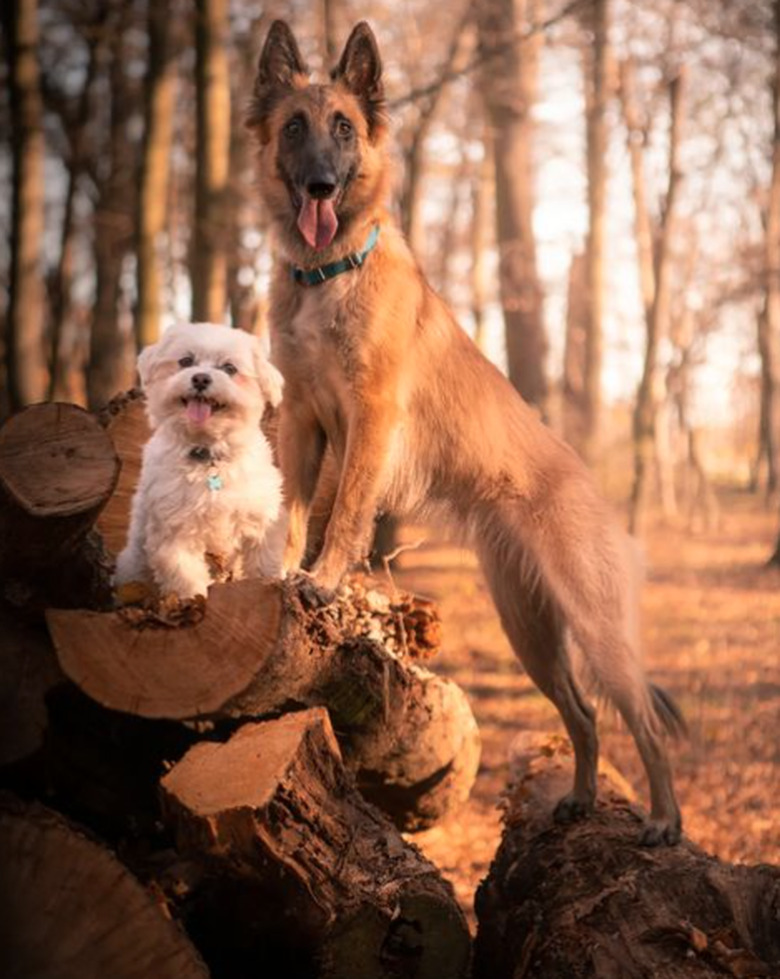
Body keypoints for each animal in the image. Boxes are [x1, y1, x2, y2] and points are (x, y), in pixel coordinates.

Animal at [116, 324, 286, 596]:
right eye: (186, 361)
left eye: (229, 368)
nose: (201, 378)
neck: (208, 454)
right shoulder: (174, 529)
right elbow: (185, 576)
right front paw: (193, 598)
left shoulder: (261, 517)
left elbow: (264, 560)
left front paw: (269, 583)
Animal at [248, 21, 684, 848]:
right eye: (293, 127)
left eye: (343, 128)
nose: (318, 186)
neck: (329, 273)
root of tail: (589, 485)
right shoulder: (301, 419)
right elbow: (290, 510)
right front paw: (278, 570)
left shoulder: (369, 418)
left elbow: (343, 514)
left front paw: (323, 578)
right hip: (531, 634)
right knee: (584, 716)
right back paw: (580, 798)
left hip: (595, 632)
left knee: (642, 719)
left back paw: (666, 820)